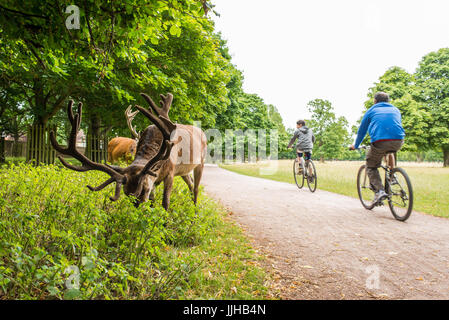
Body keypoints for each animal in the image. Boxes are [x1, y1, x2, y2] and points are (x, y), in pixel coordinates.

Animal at [50, 92, 207, 210]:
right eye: (126, 193)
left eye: (143, 190)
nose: (137, 205)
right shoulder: (156, 179)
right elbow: (153, 203)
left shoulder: (170, 172)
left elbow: (165, 203)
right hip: (184, 171)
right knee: (190, 184)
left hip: (201, 162)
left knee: (196, 188)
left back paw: (194, 211)